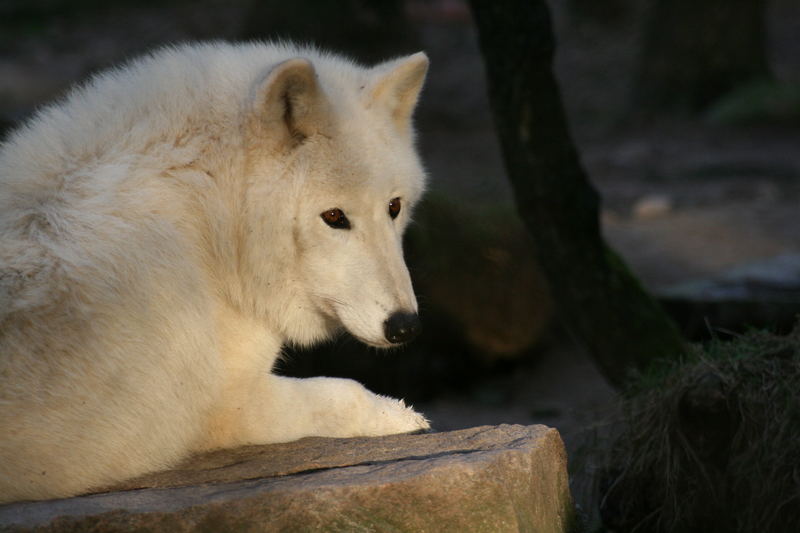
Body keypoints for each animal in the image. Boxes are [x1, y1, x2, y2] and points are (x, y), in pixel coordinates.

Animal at [0, 41, 432, 502]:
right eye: (334, 217)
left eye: (394, 207)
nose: (405, 326)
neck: (210, 220)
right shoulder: (223, 407)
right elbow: (346, 392)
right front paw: (401, 416)